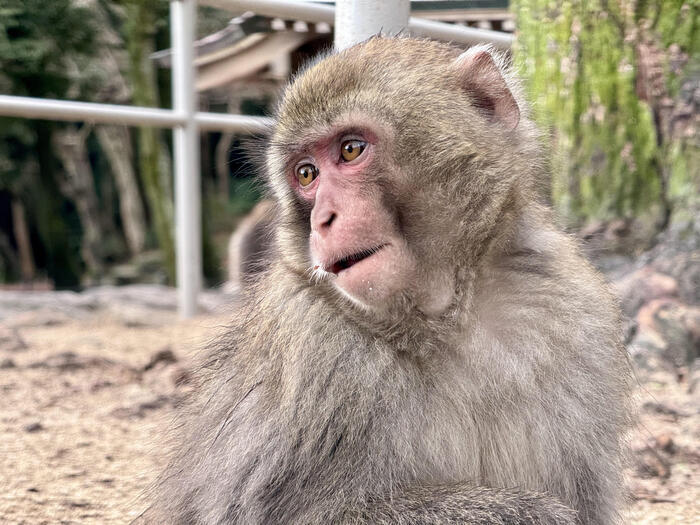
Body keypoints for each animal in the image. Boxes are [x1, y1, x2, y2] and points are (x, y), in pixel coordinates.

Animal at [145, 37, 632, 524]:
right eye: (306, 174)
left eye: (350, 150)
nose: (323, 219)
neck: (450, 317)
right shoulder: (315, 349)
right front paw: (528, 512)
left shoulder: (574, 306)